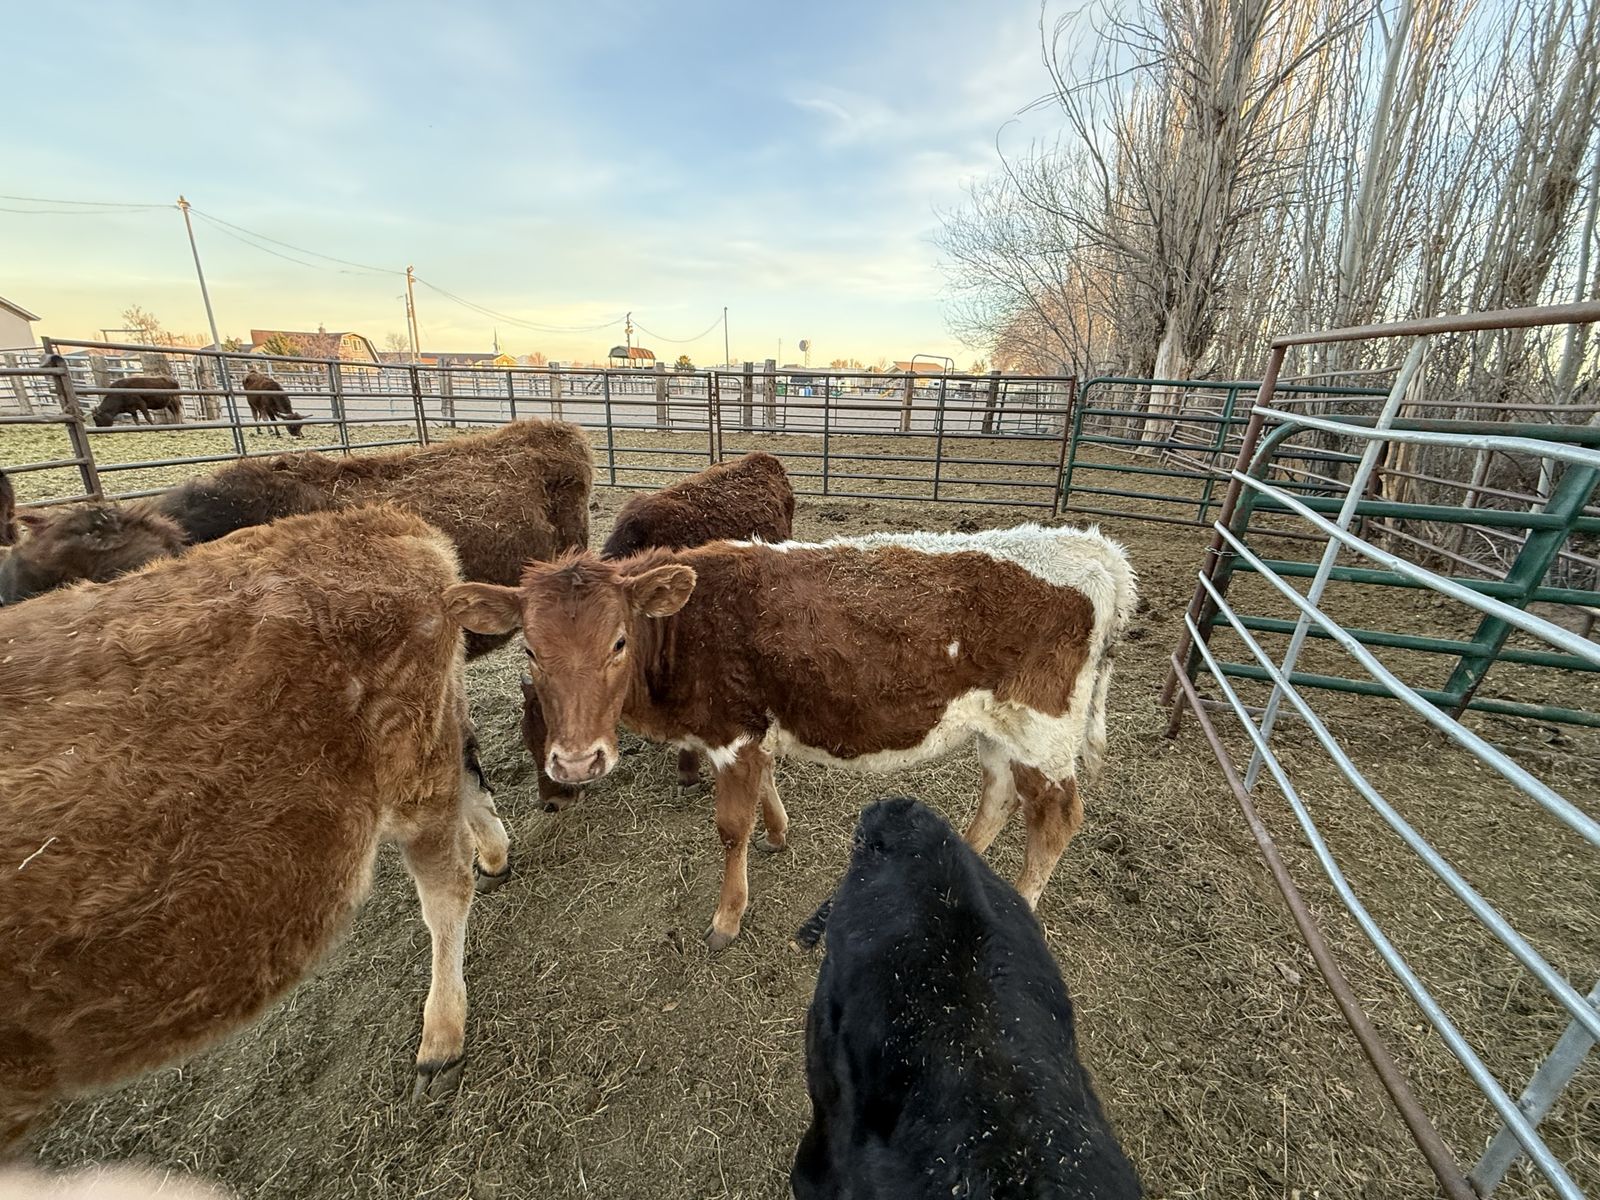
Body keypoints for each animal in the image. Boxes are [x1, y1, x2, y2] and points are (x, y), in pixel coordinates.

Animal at [0, 505, 510, 1153]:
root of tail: (379, 520)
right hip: (437, 726)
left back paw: (441, 1039)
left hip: (413, 760)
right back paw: (496, 857)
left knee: (445, 887)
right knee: (469, 771)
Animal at [445, 522, 1137, 949]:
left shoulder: (732, 735)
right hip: (999, 730)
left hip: (1045, 733)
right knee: (998, 796)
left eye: (618, 641)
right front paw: (777, 833)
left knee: (1057, 816)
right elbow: (767, 787)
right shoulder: (756, 733)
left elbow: (731, 827)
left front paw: (727, 916)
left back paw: (1021, 900)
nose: (576, 763)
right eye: (530, 650)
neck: (689, 626)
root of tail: (1097, 550)